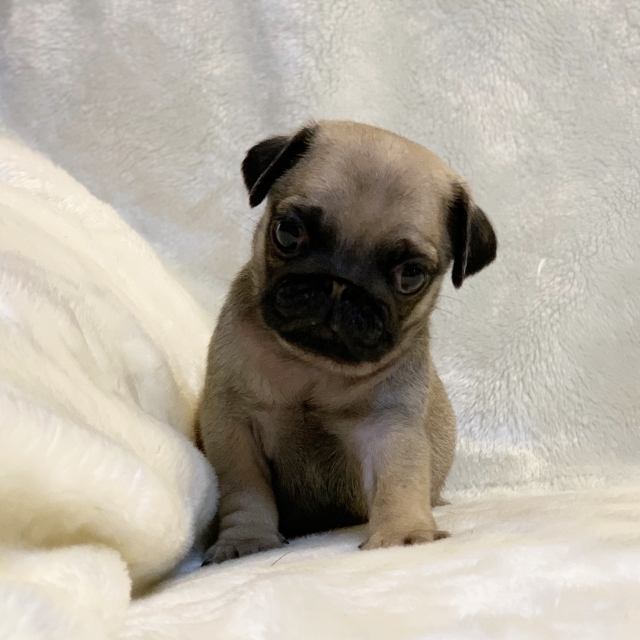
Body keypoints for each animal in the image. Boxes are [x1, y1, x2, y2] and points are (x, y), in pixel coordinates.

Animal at [197, 120, 497, 563]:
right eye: (288, 233)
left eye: (411, 275)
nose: (341, 284)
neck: (313, 368)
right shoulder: (234, 427)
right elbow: (245, 491)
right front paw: (247, 541)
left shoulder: (389, 427)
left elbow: (398, 481)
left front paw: (403, 534)